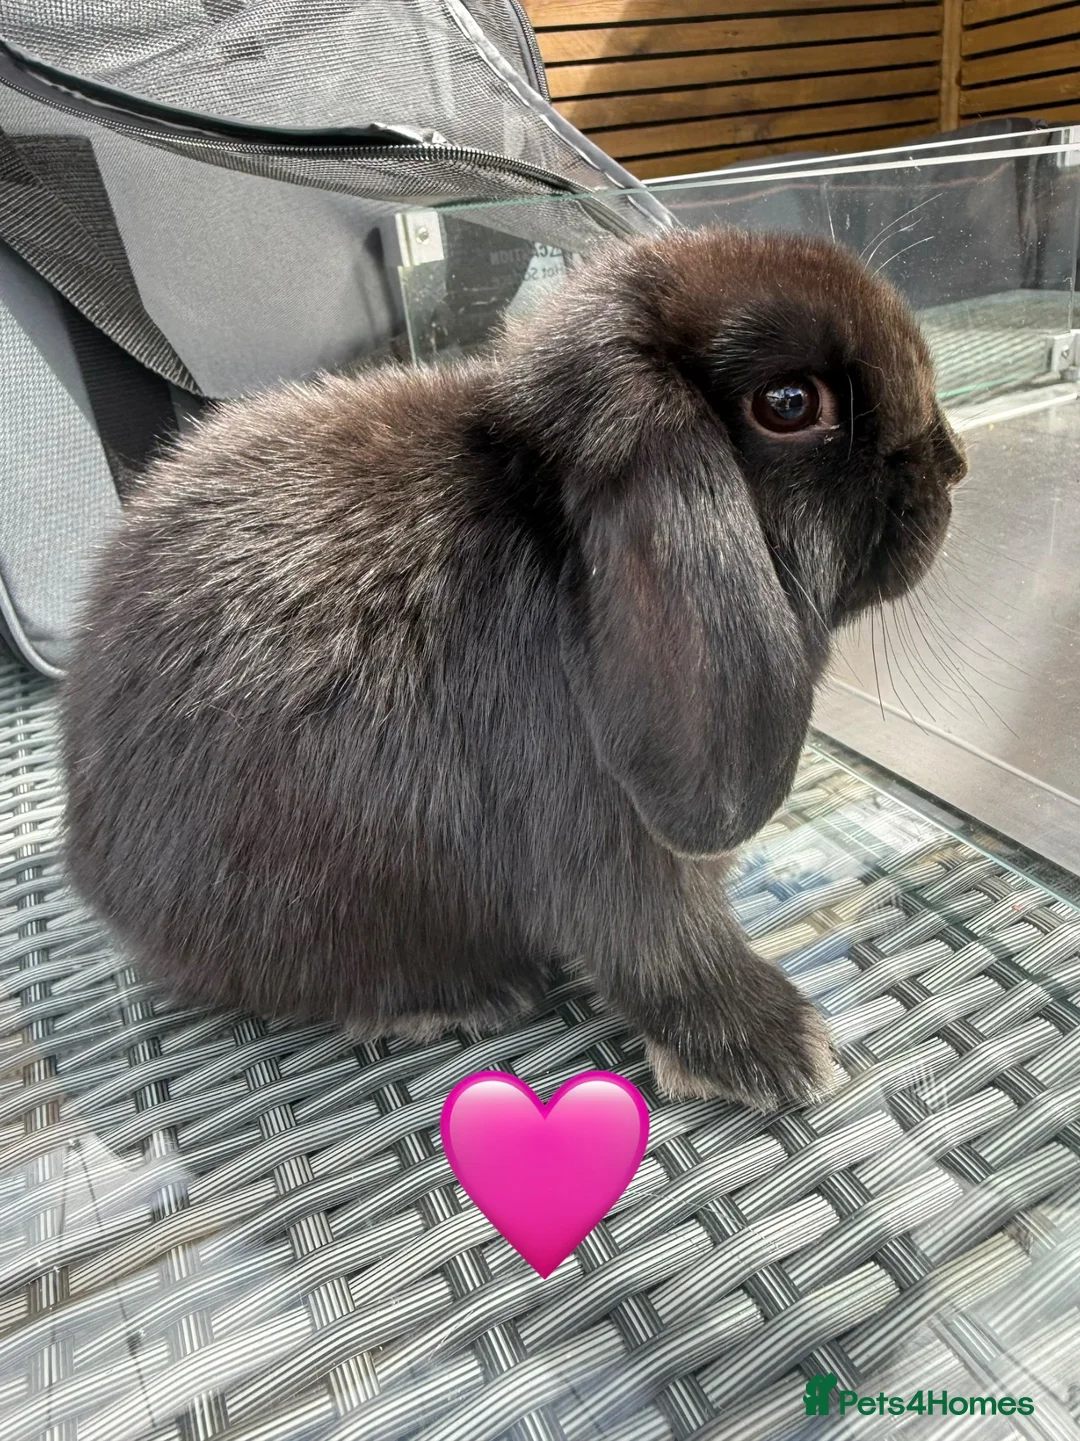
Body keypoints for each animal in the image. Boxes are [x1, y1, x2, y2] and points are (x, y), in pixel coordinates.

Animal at [61, 225, 966, 1110]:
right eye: (789, 404)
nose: (952, 463)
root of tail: (92, 861)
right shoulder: (611, 854)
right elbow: (667, 948)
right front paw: (777, 1049)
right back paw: (471, 995)